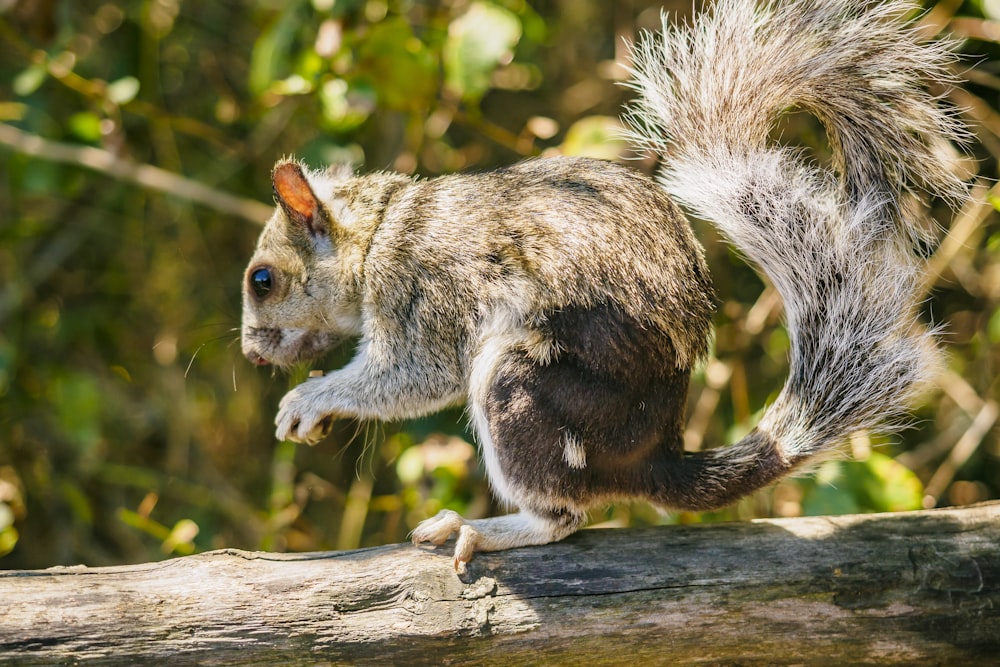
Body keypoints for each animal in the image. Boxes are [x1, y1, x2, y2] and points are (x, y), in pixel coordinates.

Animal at [238, 0, 964, 572]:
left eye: (262, 279)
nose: (250, 352)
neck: (381, 230)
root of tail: (653, 456)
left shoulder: (423, 298)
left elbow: (411, 375)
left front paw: (308, 399)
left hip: (523, 388)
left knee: (564, 515)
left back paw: (484, 527)